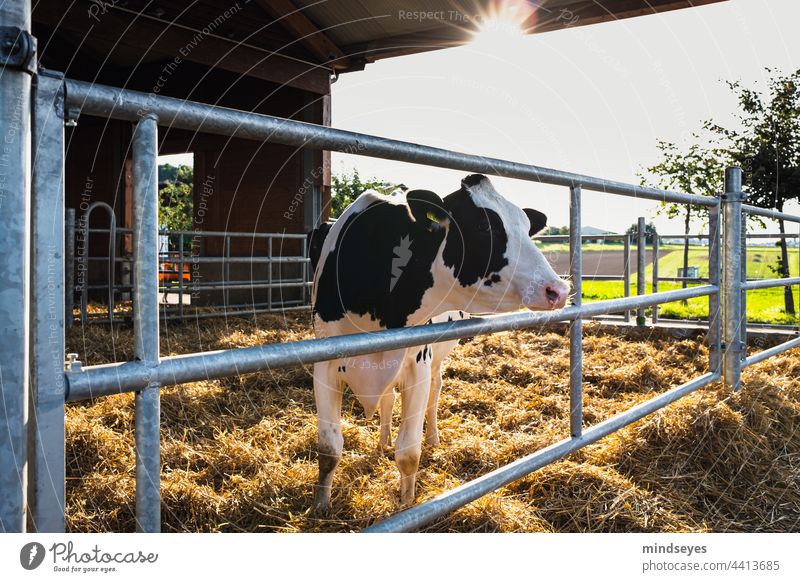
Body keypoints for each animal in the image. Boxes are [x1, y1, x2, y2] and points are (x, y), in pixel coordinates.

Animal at [310, 173, 568, 512]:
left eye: (526, 227)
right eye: (484, 226)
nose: (558, 290)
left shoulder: (417, 365)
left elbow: (409, 452)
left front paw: (407, 504)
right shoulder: (324, 363)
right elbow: (329, 449)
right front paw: (320, 506)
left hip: (435, 361)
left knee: (436, 390)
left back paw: (432, 436)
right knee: (387, 400)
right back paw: (381, 443)